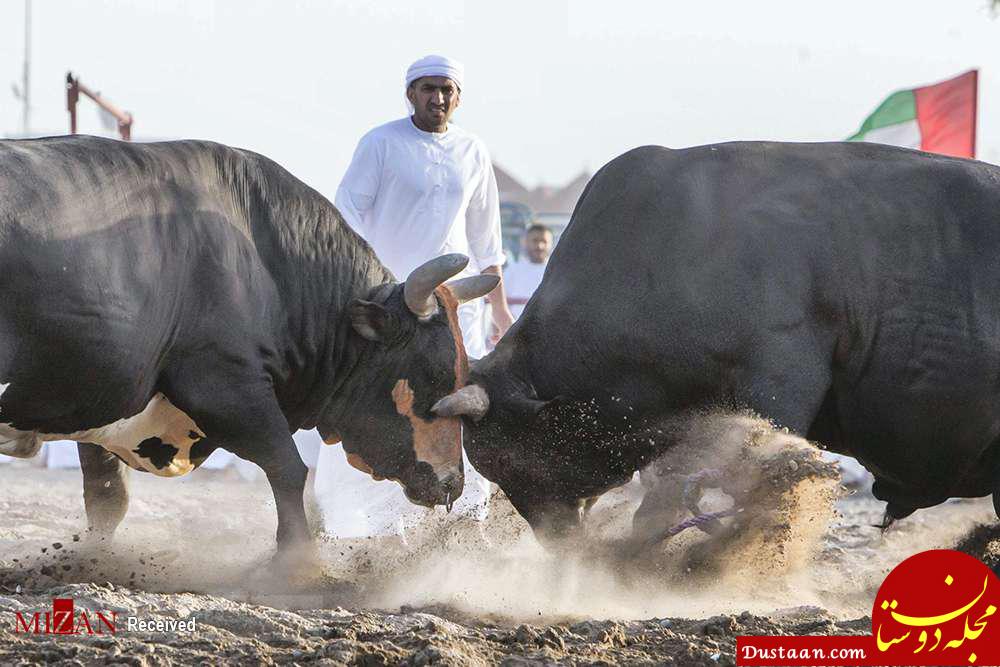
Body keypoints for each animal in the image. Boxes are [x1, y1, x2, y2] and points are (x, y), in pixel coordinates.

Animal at [0, 137, 498, 564]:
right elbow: (287, 467)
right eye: (433, 373)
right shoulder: (227, 386)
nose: (453, 483)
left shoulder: (101, 395)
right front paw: (299, 564)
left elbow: (107, 497)